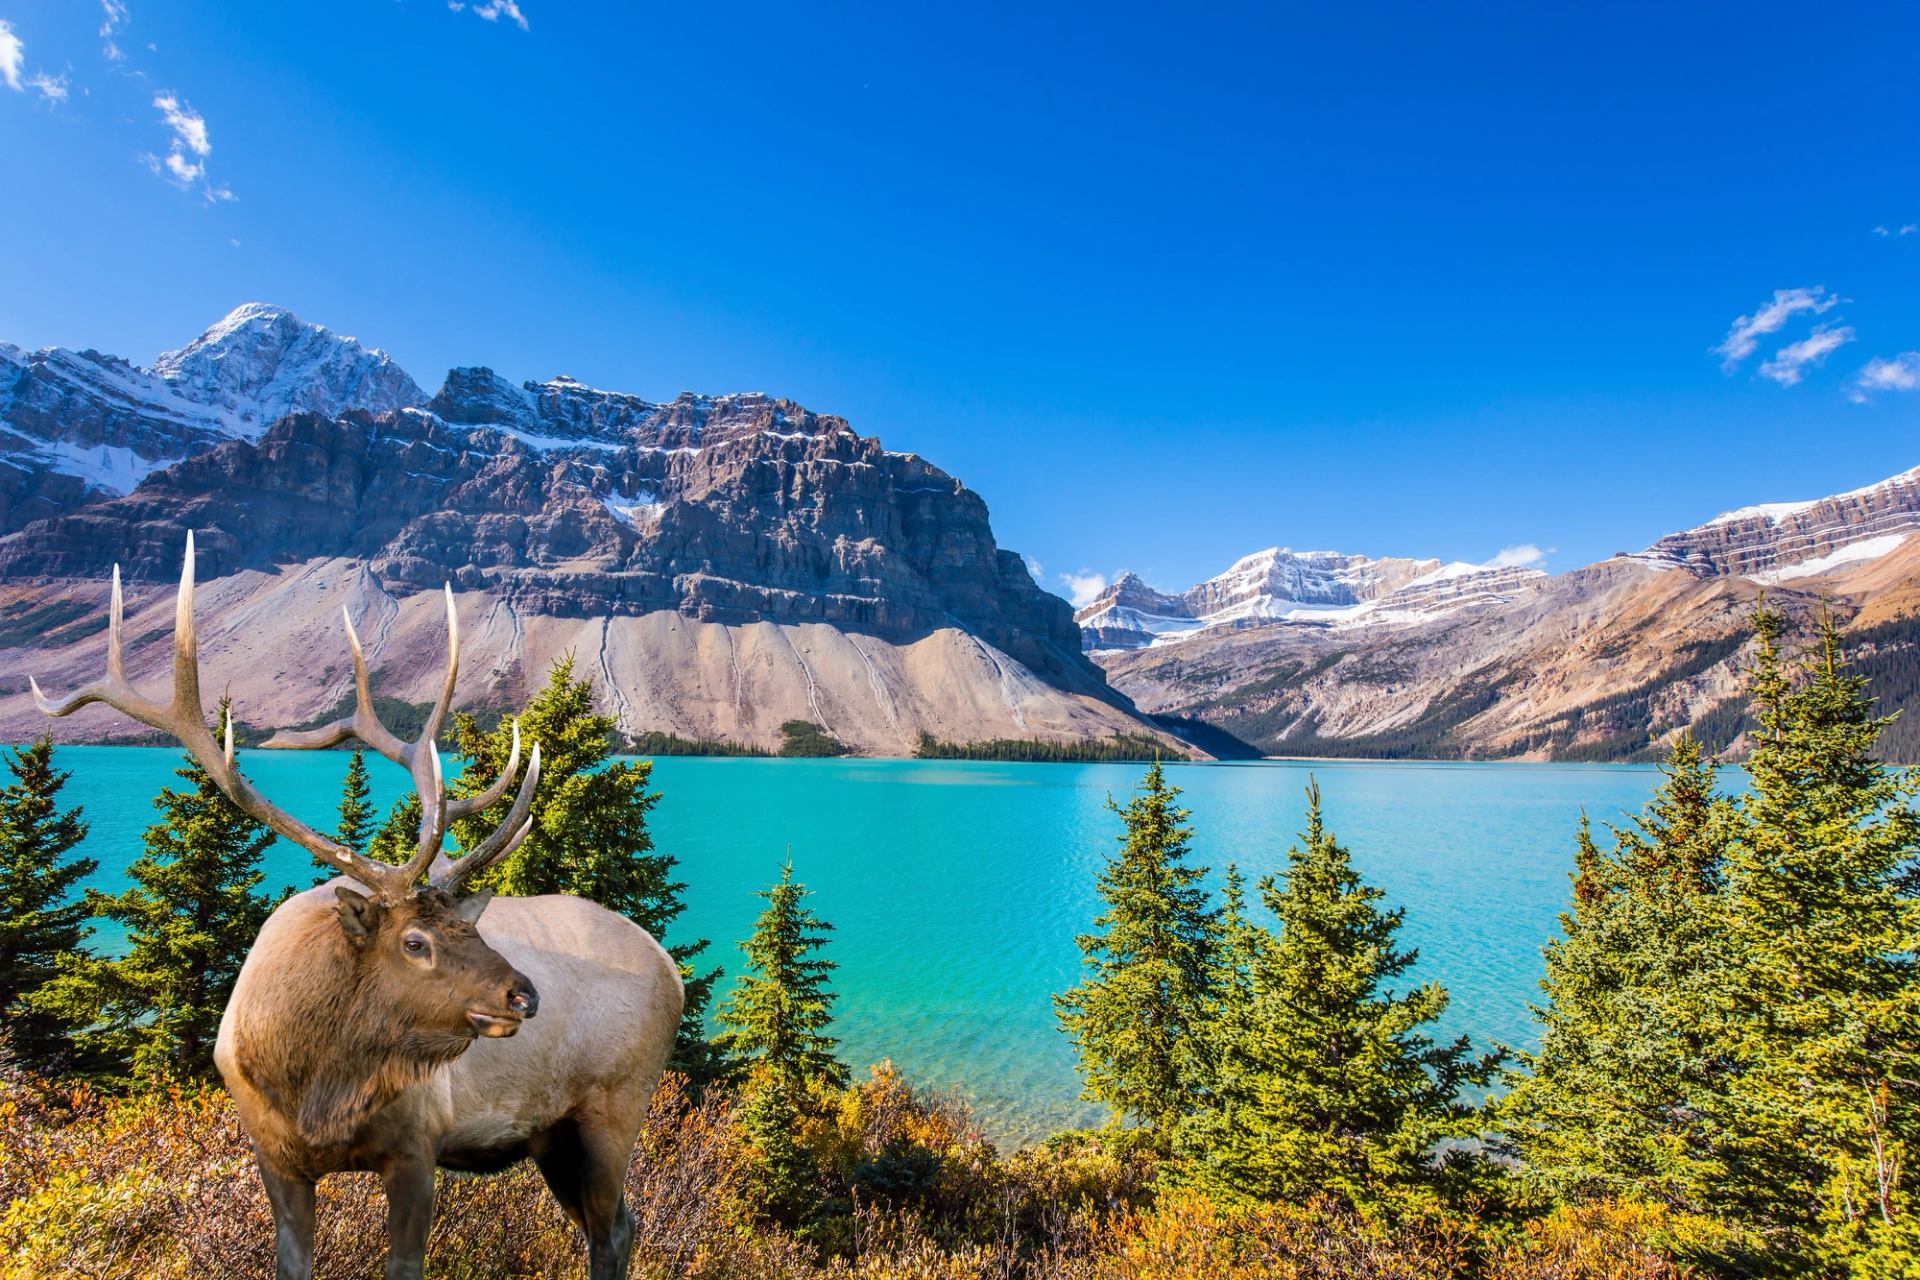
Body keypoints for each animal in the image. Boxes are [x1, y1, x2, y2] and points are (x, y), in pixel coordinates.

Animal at [31, 533, 685, 1280]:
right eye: (415, 942)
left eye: (466, 927)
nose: (524, 995)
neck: (312, 1088)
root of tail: (671, 970)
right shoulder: (275, 1158)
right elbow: (292, 1263)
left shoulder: (418, 1146)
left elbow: (404, 1264)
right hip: (552, 1136)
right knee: (617, 1226)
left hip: (613, 1106)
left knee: (612, 1228)